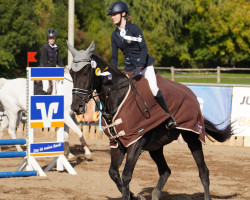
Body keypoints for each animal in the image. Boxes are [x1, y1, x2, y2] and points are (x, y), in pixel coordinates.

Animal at [68, 41, 232, 199]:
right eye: (71, 73)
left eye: (85, 72)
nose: (77, 106)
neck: (119, 97)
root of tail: (191, 94)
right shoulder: (116, 143)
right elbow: (113, 173)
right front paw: (135, 196)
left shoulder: (135, 143)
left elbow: (126, 176)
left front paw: (131, 195)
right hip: (155, 147)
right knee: (165, 171)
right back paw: (155, 194)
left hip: (192, 136)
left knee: (203, 171)